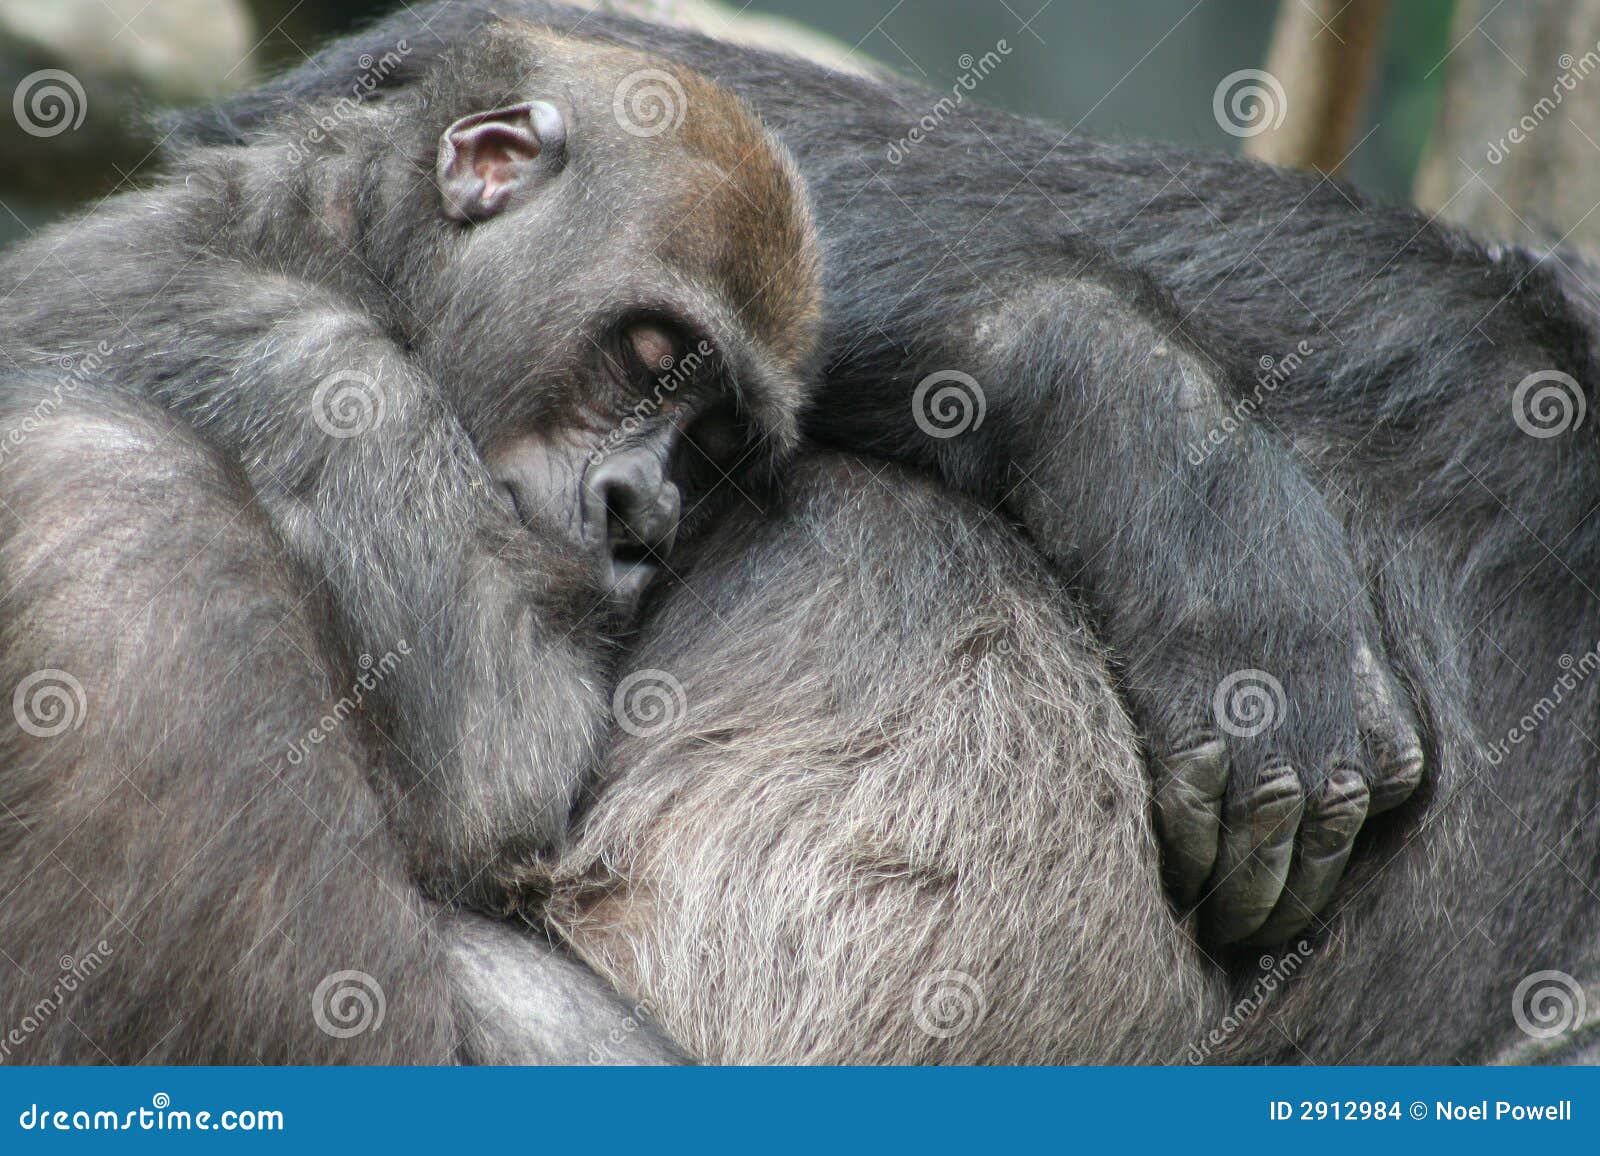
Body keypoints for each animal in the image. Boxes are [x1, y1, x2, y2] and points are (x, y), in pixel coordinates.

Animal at [0, 20, 821, 1063]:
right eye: (649, 357)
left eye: (713, 445)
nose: (641, 515)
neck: (334, 243)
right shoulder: (335, 379)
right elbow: (496, 773)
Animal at [181, 0, 1438, 947]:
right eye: (650, 356)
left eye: (712, 443)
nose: (634, 509)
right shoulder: (331, 385)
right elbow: (489, 784)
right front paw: (1183, 479)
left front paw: (1164, 466)